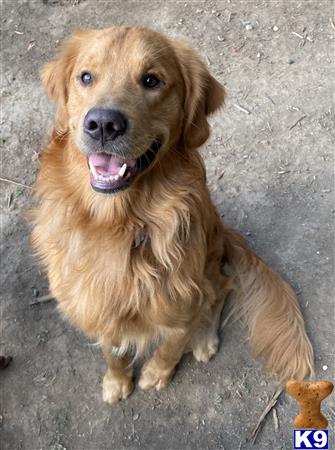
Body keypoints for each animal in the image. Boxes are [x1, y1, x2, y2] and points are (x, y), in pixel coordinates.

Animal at [30, 26, 316, 402]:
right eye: (86, 77)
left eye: (152, 80)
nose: (103, 123)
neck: (119, 224)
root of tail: (221, 228)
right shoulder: (96, 304)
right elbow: (112, 350)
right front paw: (117, 380)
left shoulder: (184, 301)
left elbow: (171, 345)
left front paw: (157, 373)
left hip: (209, 267)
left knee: (221, 289)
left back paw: (205, 338)